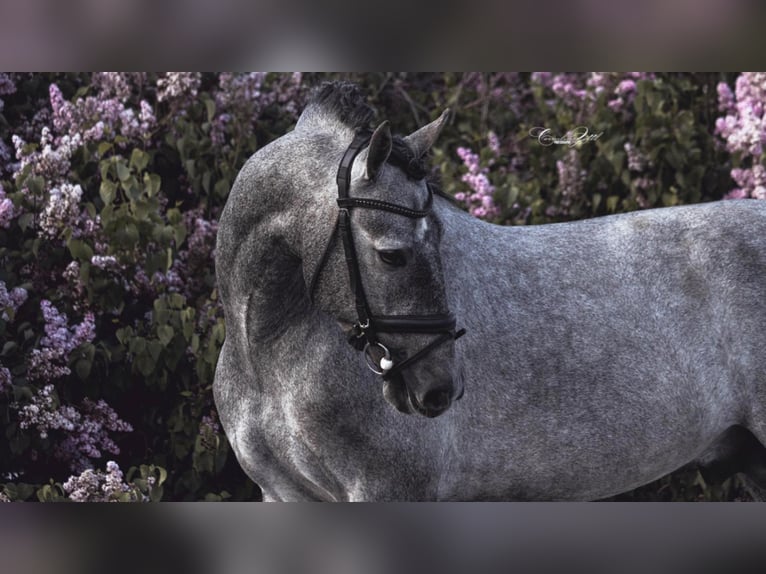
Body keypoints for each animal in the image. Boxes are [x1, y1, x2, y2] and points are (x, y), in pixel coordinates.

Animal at [213, 83, 766, 502]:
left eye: (438, 234)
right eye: (392, 255)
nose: (441, 388)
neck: (265, 354)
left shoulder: (388, 490)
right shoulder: (284, 494)